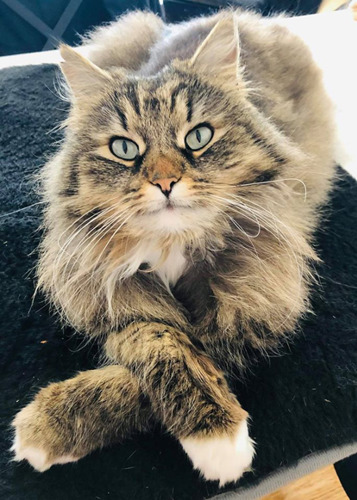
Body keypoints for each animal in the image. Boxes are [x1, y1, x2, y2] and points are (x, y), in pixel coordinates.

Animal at [11, 7, 334, 484]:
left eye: (198, 137)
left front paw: (219, 440)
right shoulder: (115, 299)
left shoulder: (251, 304)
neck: (172, 244)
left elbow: (187, 355)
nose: (165, 183)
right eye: (124, 149)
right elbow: (159, 342)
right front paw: (53, 423)